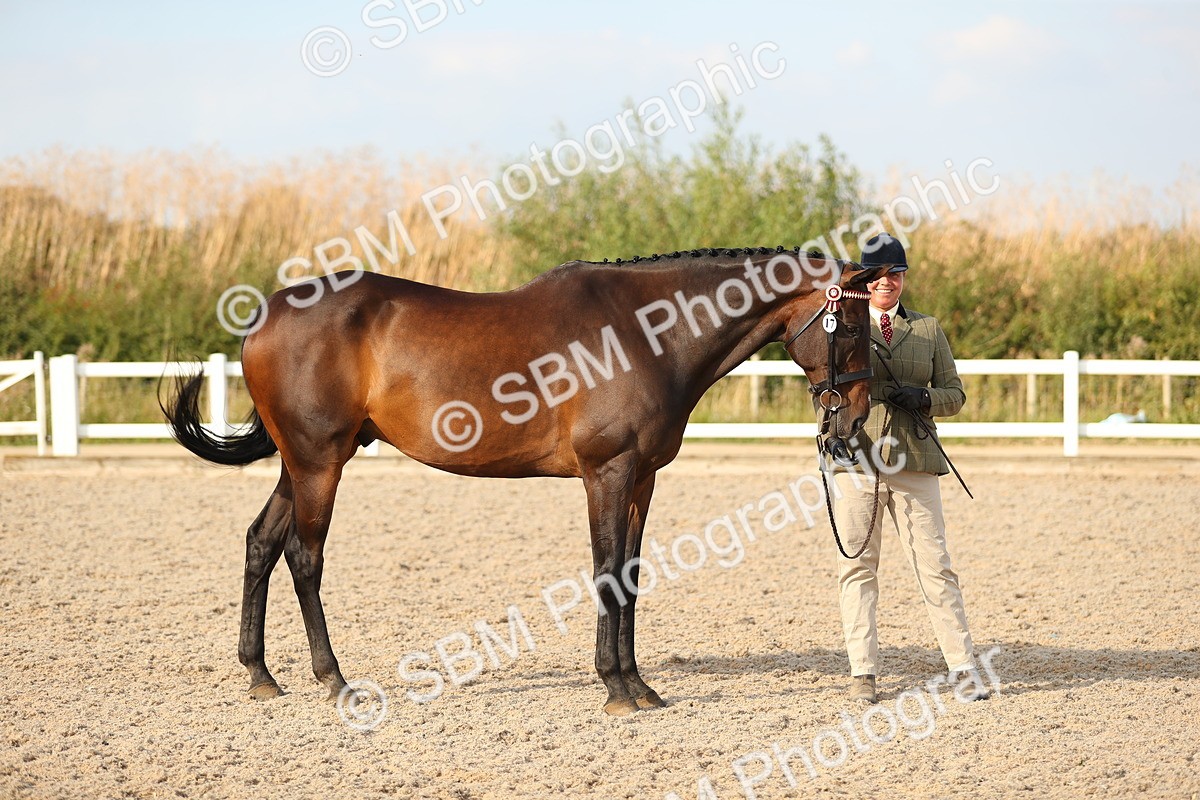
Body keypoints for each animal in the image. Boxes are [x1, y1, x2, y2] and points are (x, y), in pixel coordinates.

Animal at [162, 247, 889, 716]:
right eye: (853, 324)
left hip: (301, 462)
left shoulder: (642, 481)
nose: (853, 418)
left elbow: (630, 574)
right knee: (304, 556)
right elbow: (605, 572)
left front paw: (639, 686)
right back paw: (334, 680)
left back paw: (261, 675)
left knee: (261, 542)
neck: (646, 333)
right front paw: (615, 690)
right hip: (319, 461)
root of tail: (266, 316)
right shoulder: (607, 473)